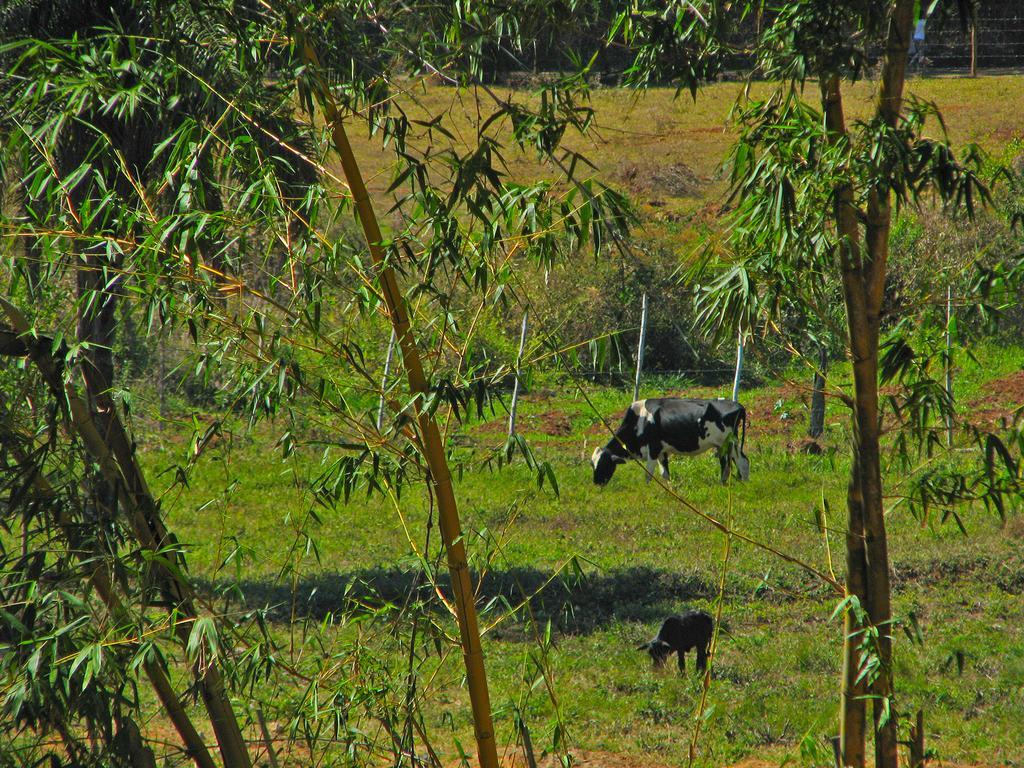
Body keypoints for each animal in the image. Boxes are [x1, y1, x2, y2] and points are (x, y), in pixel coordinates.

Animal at [589, 397, 749, 487]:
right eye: (592, 464)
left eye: (604, 463)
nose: (596, 483)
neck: (639, 419)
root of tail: (739, 406)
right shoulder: (662, 450)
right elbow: (665, 473)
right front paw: (669, 488)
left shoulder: (653, 449)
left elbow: (649, 474)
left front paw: (647, 488)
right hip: (725, 446)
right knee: (732, 464)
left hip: (729, 443)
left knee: (739, 463)